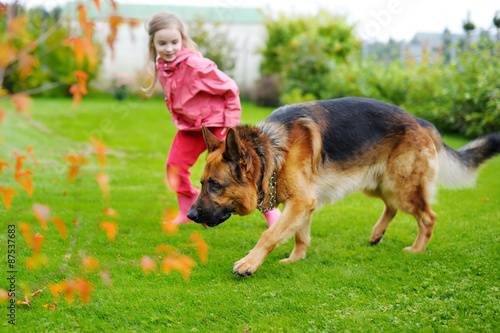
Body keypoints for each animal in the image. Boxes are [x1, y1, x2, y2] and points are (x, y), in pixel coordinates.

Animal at [187, 97, 500, 276]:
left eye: (215, 185)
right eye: (201, 183)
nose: (189, 215)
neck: (272, 152)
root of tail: (422, 121)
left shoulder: (301, 201)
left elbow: (270, 234)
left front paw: (249, 263)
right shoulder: (303, 203)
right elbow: (299, 235)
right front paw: (296, 259)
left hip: (401, 187)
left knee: (428, 216)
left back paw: (417, 249)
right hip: (378, 185)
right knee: (392, 208)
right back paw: (377, 234)